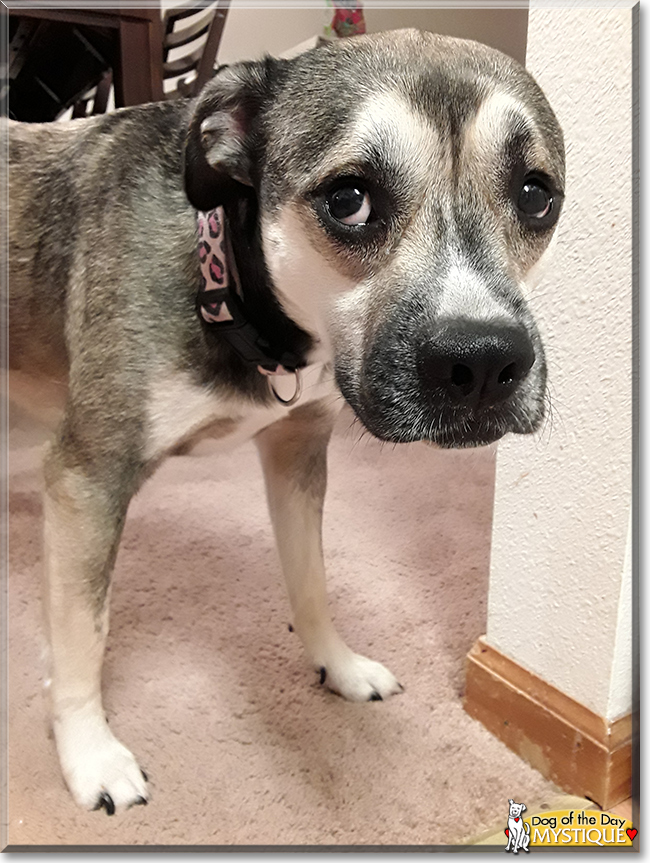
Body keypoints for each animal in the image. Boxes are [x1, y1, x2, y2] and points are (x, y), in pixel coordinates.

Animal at [5, 32, 560, 816]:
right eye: (349, 199)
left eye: (536, 195)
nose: (484, 363)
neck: (231, 291)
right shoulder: (90, 476)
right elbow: (85, 629)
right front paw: (89, 754)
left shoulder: (298, 452)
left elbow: (311, 578)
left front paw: (337, 664)